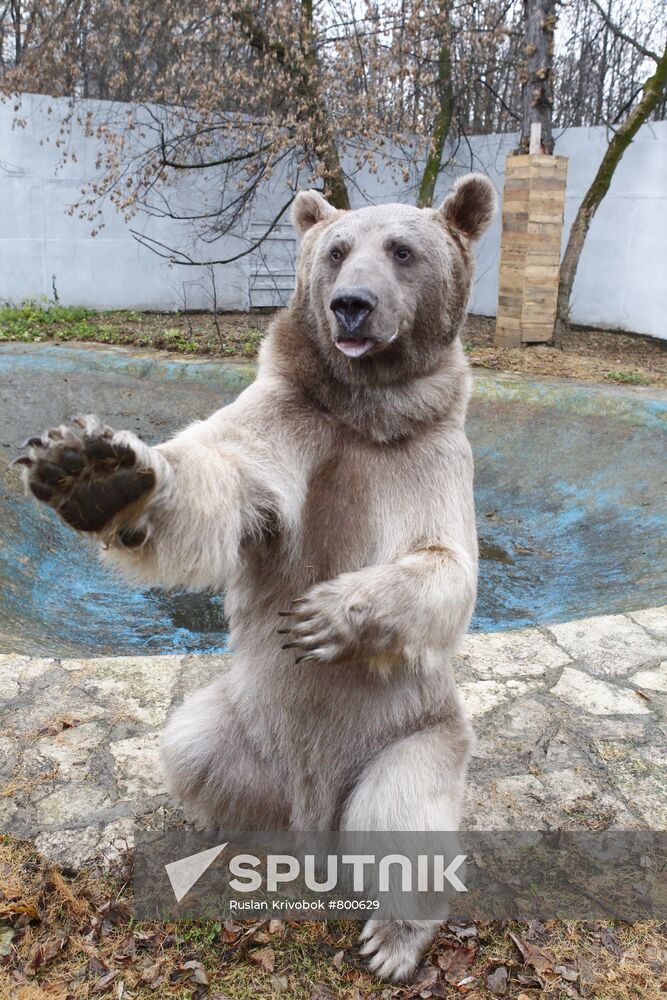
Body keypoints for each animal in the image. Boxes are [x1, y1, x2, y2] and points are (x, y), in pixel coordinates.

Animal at [15, 174, 496, 984]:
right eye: (335, 250)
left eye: (401, 250)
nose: (351, 305)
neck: (369, 413)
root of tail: (312, 817)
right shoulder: (290, 422)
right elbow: (220, 476)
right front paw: (95, 474)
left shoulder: (431, 455)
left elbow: (446, 565)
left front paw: (326, 613)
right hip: (245, 721)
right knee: (190, 747)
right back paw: (237, 838)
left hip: (415, 731)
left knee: (401, 816)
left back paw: (393, 940)